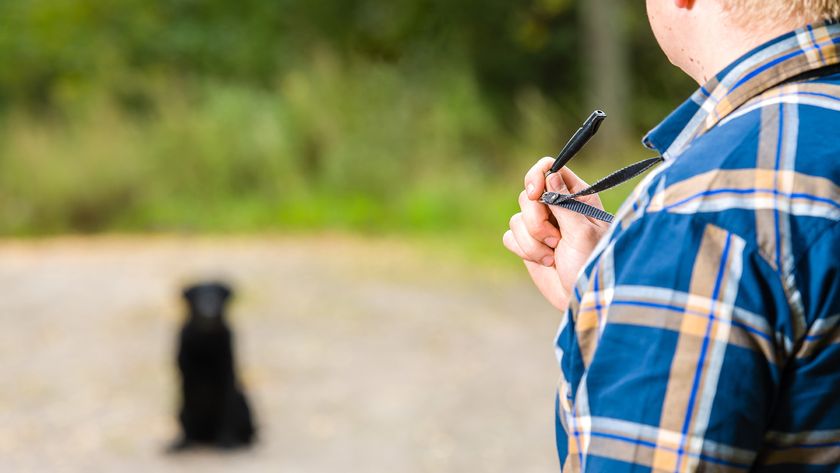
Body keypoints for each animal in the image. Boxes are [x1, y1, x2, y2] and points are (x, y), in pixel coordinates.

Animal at [167, 280, 253, 450]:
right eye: (197, 296)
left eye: (218, 296)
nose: (208, 312)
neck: (206, 344)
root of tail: (207, 437)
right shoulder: (186, 378)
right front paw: (183, 443)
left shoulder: (227, 377)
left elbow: (226, 412)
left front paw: (227, 442)